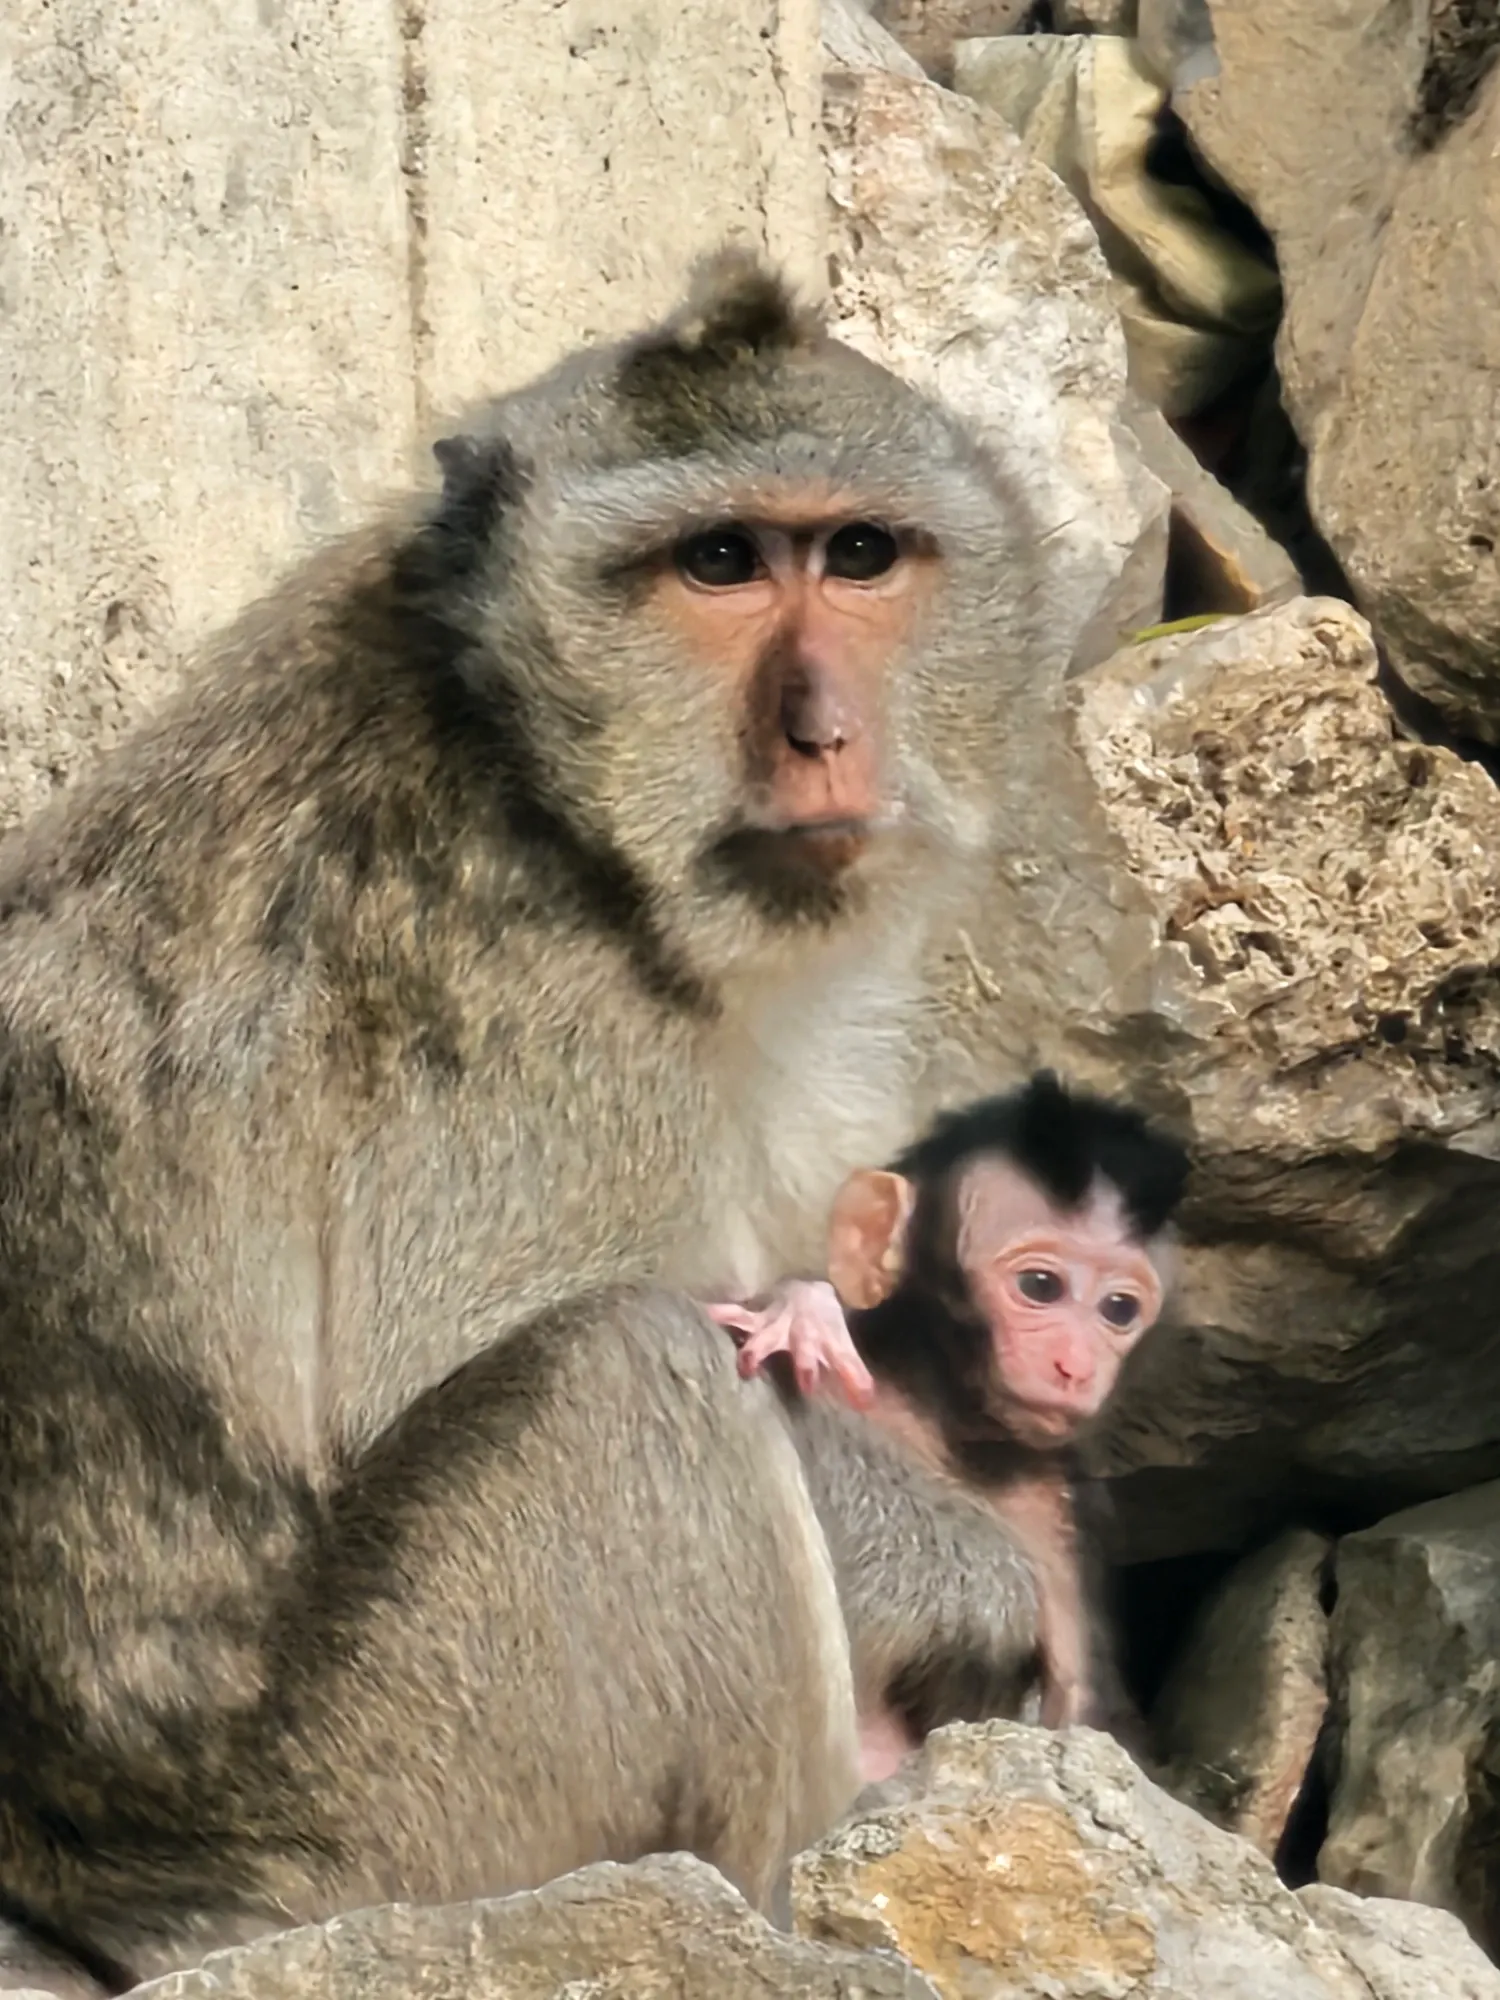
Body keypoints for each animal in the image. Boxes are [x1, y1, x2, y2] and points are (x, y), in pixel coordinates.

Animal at [0, 248, 1052, 1986]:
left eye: (857, 553)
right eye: (717, 563)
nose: (824, 731)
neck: (545, 778)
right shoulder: (539, 1030)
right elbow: (509, 1340)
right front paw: (972, 1585)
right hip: (393, 1830)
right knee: (626, 1376)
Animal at [733, 1073, 1190, 1781]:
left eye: (1118, 1309)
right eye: (1040, 1286)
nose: (1077, 1365)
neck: (946, 1426)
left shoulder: (1062, 1511)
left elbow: (1089, 1722)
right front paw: (802, 1312)